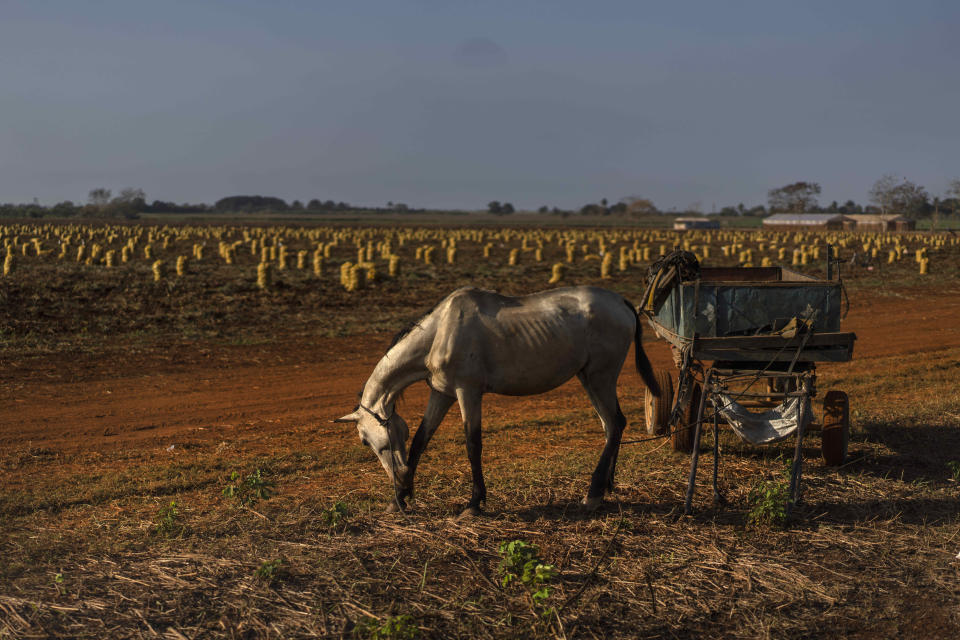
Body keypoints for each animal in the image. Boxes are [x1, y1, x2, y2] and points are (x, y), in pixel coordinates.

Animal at [332, 288, 660, 516]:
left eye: (364, 440)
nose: (396, 477)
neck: (440, 333)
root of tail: (621, 303)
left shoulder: (468, 392)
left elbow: (472, 444)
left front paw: (474, 503)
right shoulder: (442, 394)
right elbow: (421, 440)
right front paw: (398, 499)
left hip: (600, 377)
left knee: (614, 424)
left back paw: (593, 494)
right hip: (589, 378)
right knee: (611, 425)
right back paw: (606, 486)